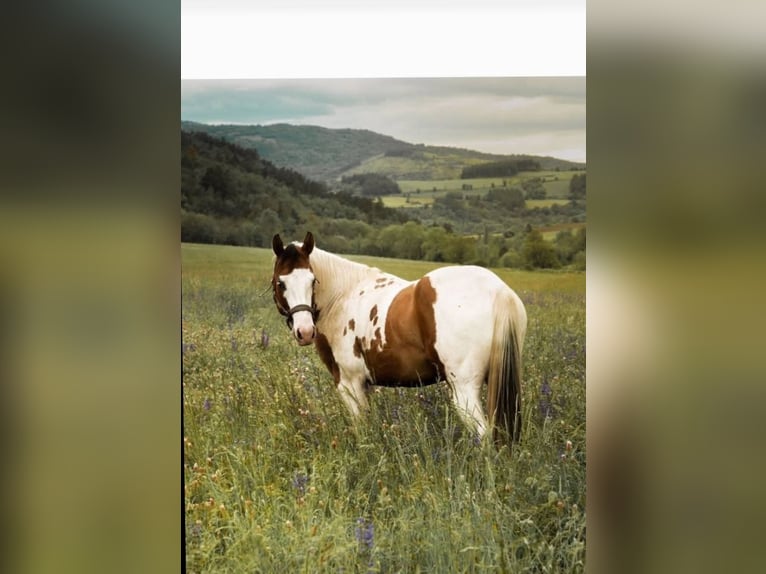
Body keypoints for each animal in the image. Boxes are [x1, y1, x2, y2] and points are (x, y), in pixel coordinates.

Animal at [271, 231, 527, 445]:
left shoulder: (350, 384)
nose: (305, 331)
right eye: (280, 282)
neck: (342, 297)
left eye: (312, 281)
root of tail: (498, 291)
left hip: (464, 390)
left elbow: (362, 429)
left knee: (484, 436)